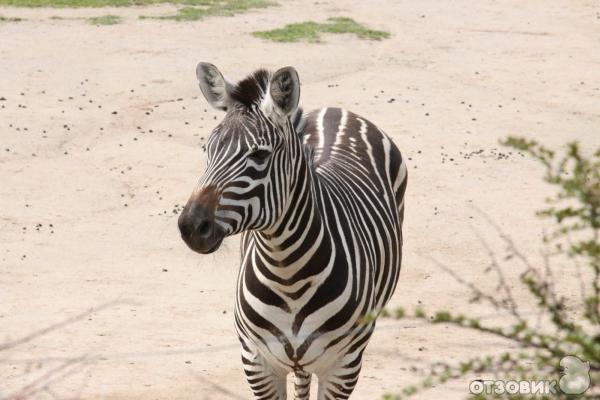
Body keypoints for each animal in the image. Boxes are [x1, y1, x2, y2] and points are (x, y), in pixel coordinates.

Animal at [178, 63, 408, 400]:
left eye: (259, 156)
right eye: (208, 149)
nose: (191, 226)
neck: (287, 273)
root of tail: (336, 110)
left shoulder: (343, 367)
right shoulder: (256, 361)